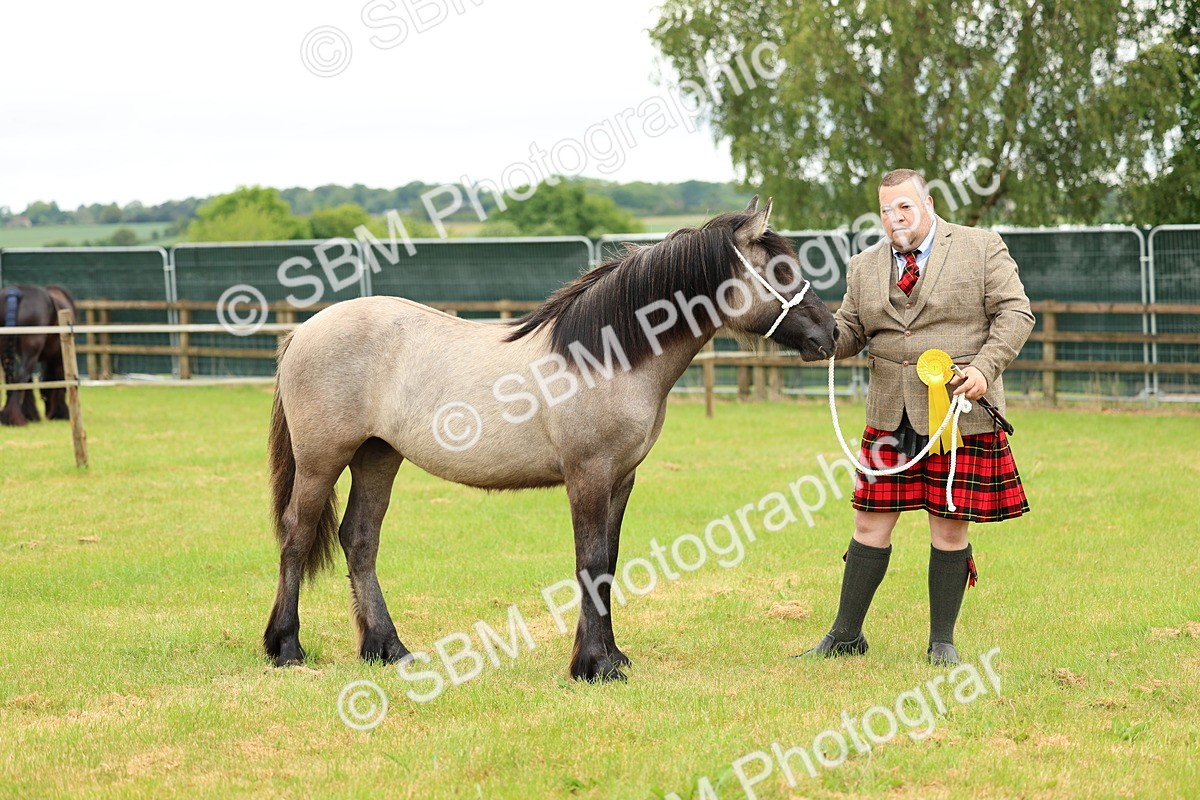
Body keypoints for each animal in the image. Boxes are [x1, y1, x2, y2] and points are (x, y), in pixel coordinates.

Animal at [0, 284, 78, 427]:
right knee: (21, 377)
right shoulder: (58, 357)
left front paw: (31, 414)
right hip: (31, 352)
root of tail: (14, 292)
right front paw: (61, 413)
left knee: (14, 379)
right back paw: (14, 419)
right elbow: (60, 381)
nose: (48, 413)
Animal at [263, 197, 839, 681]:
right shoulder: (587, 474)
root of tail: (304, 331)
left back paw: (387, 649)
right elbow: (589, 562)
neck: (608, 356)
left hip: (378, 456)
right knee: (296, 532)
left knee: (360, 538)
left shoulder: (621, 479)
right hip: (322, 459)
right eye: (782, 271)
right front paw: (594, 666)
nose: (830, 334)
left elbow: (607, 563)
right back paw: (286, 648)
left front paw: (610, 656)